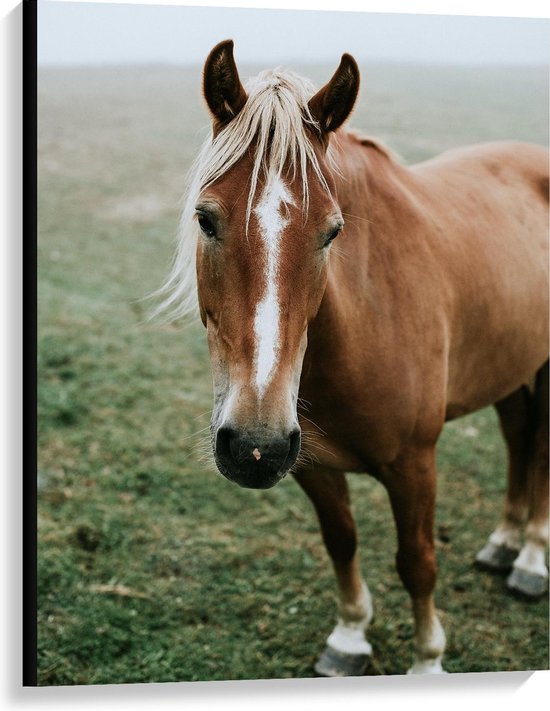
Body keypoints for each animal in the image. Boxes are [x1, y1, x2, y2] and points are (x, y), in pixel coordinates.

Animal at [157, 41, 548, 676]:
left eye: (332, 231)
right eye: (205, 218)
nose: (254, 445)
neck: (365, 321)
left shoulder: (415, 463)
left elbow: (417, 562)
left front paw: (428, 662)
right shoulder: (311, 465)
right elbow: (341, 541)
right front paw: (349, 637)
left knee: (538, 449)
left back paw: (532, 558)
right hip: (509, 361)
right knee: (519, 436)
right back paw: (504, 541)